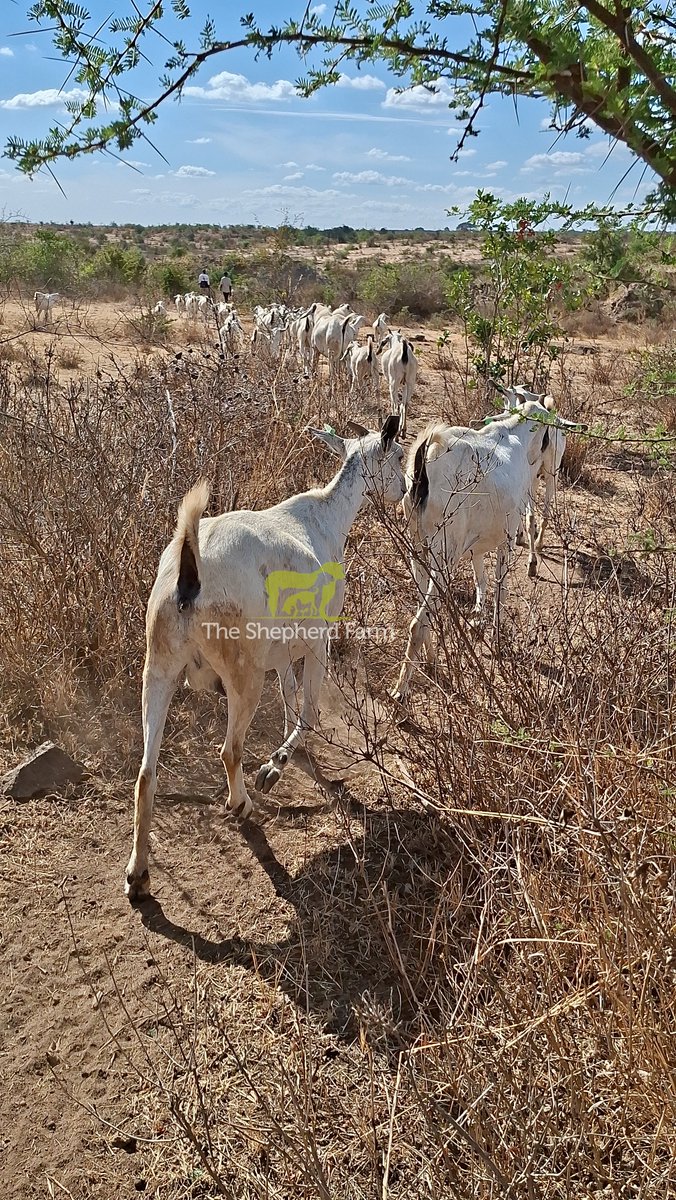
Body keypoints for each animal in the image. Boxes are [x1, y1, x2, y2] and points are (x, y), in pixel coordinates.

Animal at [125, 415, 405, 901]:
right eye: (400, 456)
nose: (407, 490)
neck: (325, 517)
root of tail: (189, 574)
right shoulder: (317, 640)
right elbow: (308, 709)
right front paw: (275, 766)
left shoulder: (281, 653)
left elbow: (290, 696)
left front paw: (288, 755)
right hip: (243, 676)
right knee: (229, 749)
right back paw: (242, 803)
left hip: (158, 669)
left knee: (146, 773)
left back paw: (138, 874)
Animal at [392, 401, 569, 701]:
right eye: (550, 432)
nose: (553, 464)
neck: (516, 434)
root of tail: (425, 463)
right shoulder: (506, 540)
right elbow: (500, 590)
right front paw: (496, 639)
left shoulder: (477, 546)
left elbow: (480, 579)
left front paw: (478, 619)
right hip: (444, 556)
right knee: (419, 623)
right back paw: (401, 689)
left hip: (418, 551)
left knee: (423, 611)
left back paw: (431, 661)